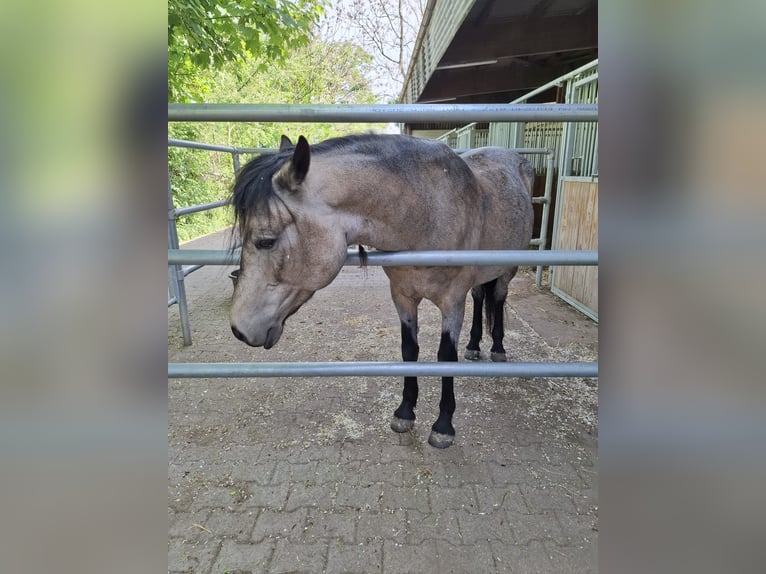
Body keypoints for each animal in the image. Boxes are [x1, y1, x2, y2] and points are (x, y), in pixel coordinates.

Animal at [229, 133, 534, 448]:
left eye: (266, 241)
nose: (239, 329)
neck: (427, 213)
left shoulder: (452, 302)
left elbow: (446, 357)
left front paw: (443, 426)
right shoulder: (402, 296)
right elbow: (409, 350)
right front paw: (405, 412)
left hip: (507, 270)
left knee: (497, 298)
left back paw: (497, 348)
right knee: (480, 296)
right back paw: (474, 345)